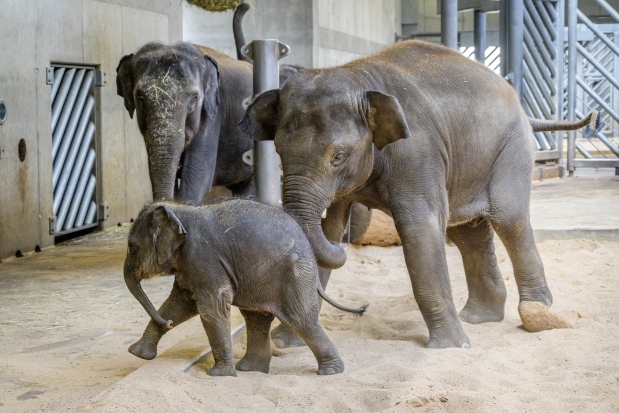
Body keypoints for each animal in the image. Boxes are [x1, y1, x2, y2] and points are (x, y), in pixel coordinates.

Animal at [123, 200, 364, 376]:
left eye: (132, 248)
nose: (170, 324)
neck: (179, 210)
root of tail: (311, 254)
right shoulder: (190, 265)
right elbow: (179, 303)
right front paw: (138, 353)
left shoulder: (203, 258)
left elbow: (212, 306)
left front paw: (219, 375)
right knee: (257, 319)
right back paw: (251, 370)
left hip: (295, 276)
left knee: (301, 320)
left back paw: (330, 372)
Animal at [241, 40, 592, 348]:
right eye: (279, 151)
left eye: (338, 156)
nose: (345, 246)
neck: (359, 78)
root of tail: (523, 108)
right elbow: (330, 227)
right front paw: (284, 344)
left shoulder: (417, 151)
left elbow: (419, 227)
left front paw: (452, 347)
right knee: (467, 232)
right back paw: (479, 318)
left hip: (512, 147)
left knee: (509, 219)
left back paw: (537, 314)